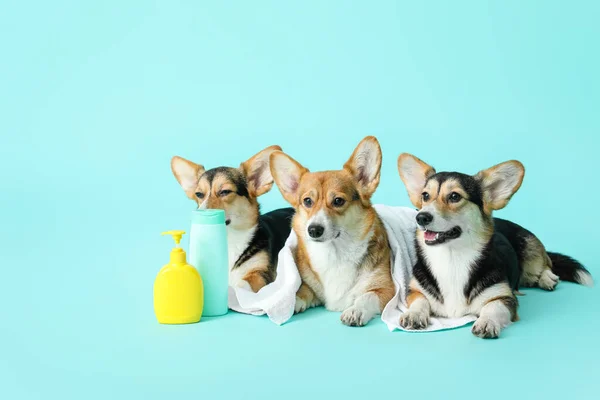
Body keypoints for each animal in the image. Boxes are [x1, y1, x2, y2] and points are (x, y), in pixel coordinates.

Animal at [171, 145, 296, 292]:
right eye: (199, 194)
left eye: (225, 192)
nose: (199, 214)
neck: (229, 238)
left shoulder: (261, 273)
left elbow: (242, 283)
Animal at [270, 136, 394, 326]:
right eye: (307, 201)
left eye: (338, 201)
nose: (314, 230)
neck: (335, 252)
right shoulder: (307, 284)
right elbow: (301, 291)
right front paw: (291, 303)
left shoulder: (387, 289)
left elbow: (366, 297)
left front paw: (355, 310)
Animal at [394, 153, 592, 338]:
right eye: (425, 196)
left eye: (454, 196)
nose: (421, 217)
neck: (452, 258)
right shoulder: (415, 291)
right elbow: (420, 301)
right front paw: (414, 314)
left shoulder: (504, 297)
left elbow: (493, 307)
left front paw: (487, 322)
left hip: (531, 252)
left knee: (545, 265)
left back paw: (547, 279)